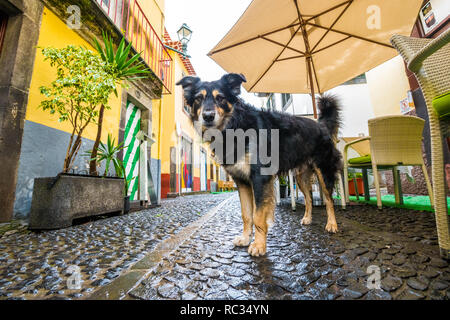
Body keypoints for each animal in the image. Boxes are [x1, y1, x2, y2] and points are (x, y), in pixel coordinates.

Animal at [178, 74, 342, 256]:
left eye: (220, 98)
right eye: (198, 99)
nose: (208, 116)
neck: (235, 126)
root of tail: (321, 125)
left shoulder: (259, 178)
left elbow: (257, 215)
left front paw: (258, 245)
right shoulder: (241, 181)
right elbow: (246, 214)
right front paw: (245, 239)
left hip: (324, 171)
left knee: (329, 200)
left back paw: (332, 224)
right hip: (300, 177)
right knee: (309, 198)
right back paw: (307, 218)